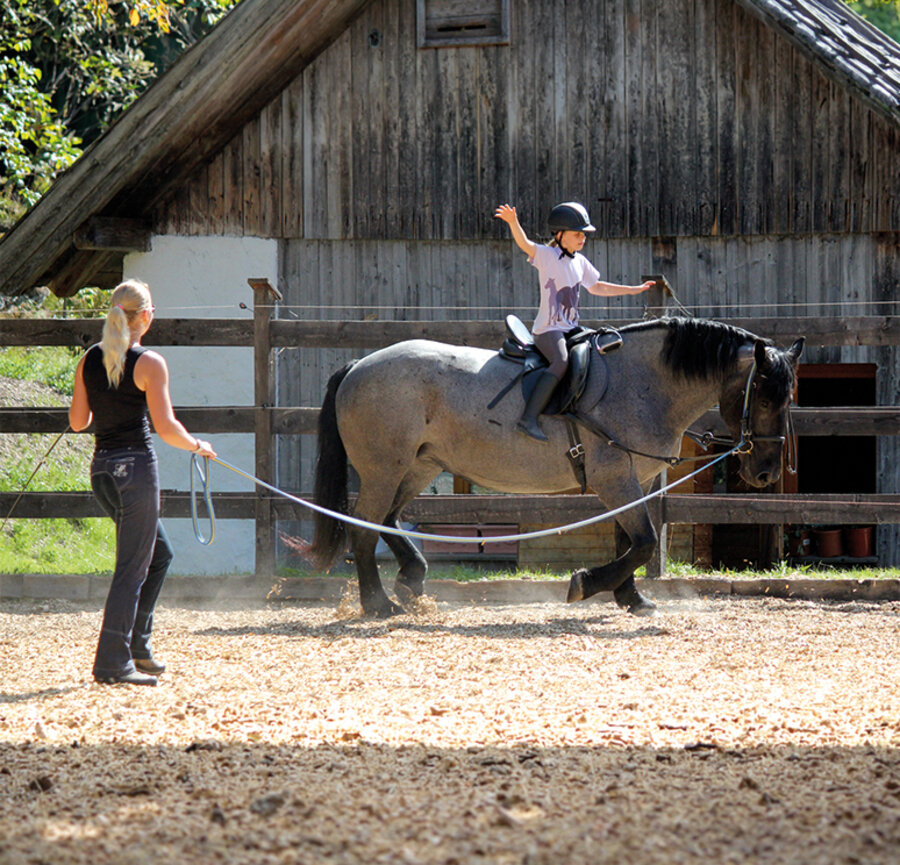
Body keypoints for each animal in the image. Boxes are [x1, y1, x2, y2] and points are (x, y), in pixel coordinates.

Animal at [307, 317, 804, 618]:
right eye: (763, 398)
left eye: (788, 399)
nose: (765, 473)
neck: (641, 382)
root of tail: (360, 365)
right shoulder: (614, 478)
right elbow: (643, 542)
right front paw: (586, 583)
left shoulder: (630, 480)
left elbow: (630, 541)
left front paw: (631, 598)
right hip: (384, 469)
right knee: (365, 528)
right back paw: (378, 603)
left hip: (418, 466)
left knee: (389, 519)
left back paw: (412, 577)